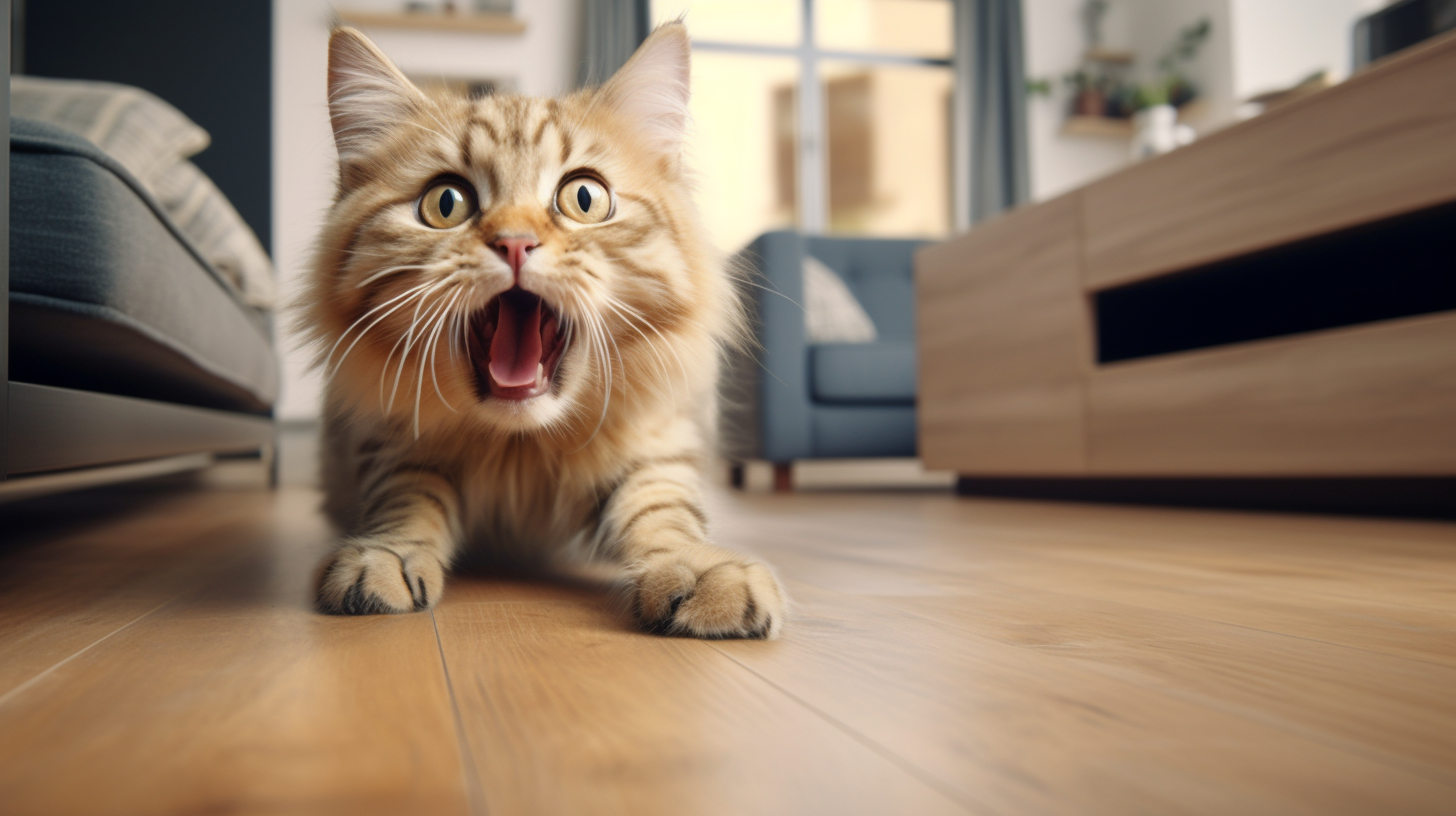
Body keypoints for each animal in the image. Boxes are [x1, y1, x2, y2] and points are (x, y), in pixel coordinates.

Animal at [298, 23, 786, 638]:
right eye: (446, 202)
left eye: (584, 197)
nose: (514, 242)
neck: (521, 448)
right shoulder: (388, 441)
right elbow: (408, 500)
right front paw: (388, 555)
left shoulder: (658, 443)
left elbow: (661, 509)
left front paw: (697, 571)